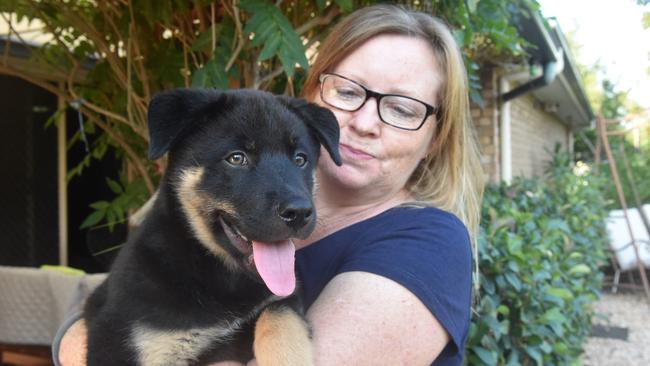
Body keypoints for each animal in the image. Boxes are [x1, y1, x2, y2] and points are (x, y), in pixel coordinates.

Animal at [83, 89, 342, 366]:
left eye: (300, 159)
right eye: (236, 158)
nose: (299, 213)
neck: (222, 274)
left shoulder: (283, 298)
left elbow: (279, 318)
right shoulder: (119, 338)